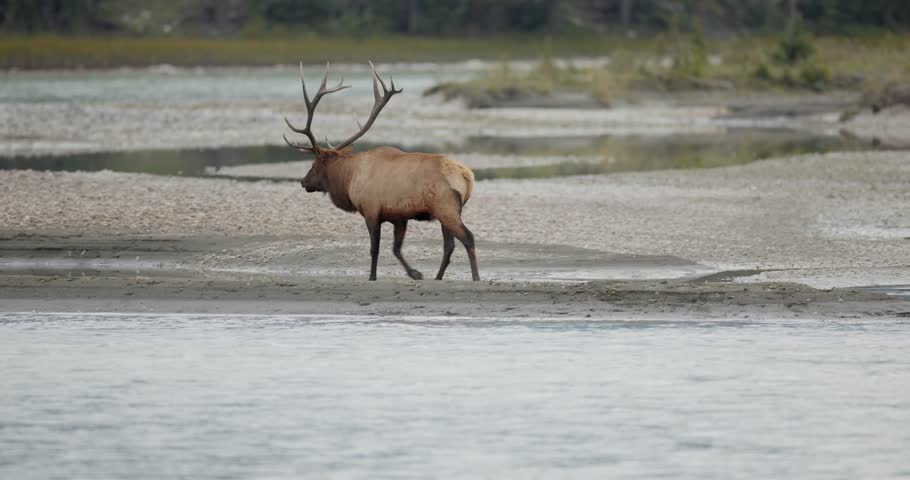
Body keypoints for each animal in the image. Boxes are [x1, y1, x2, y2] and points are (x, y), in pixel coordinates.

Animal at [284, 62, 480, 282]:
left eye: (315, 164)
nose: (303, 181)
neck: (348, 179)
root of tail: (467, 176)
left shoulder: (371, 210)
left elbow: (374, 249)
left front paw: (372, 276)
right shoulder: (399, 217)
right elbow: (396, 248)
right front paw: (415, 273)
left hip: (445, 206)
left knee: (467, 237)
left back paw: (475, 277)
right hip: (448, 210)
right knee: (449, 245)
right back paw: (437, 277)